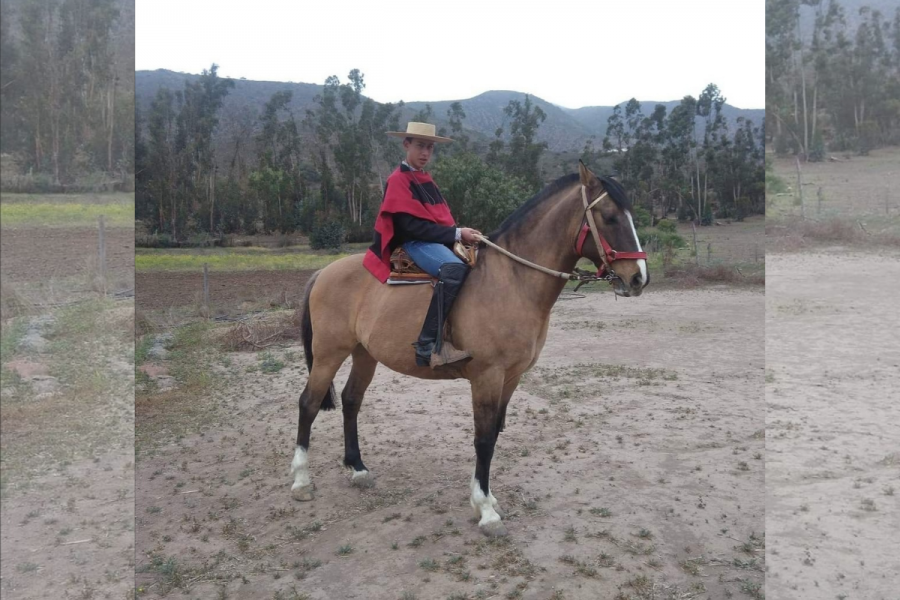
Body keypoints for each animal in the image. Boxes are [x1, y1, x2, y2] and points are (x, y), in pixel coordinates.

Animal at [292, 162, 652, 536]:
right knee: (308, 403)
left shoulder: (511, 378)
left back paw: (358, 468)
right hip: (329, 354)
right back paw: (301, 481)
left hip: (364, 354)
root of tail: (322, 272)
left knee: (351, 400)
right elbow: (483, 438)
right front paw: (486, 511)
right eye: (609, 216)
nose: (639, 278)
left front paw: (488, 500)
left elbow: (494, 433)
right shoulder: (487, 377)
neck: (512, 281)